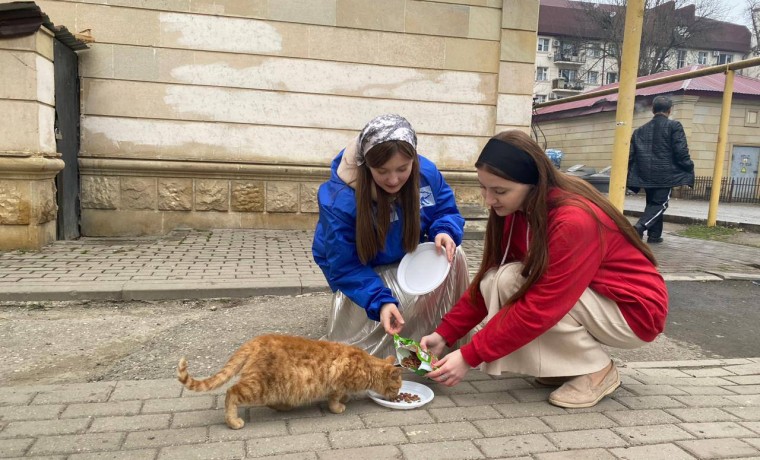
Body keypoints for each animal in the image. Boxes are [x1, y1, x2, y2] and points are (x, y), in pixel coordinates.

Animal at [179, 334, 404, 428]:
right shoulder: (337, 383)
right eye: (397, 386)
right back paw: (233, 421)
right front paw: (339, 406)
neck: (366, 366)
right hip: (258, 385)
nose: (397, 396)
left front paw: (346, 399)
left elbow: (343, 394)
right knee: (231, 393)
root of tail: (255, 340)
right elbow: (334, 398)